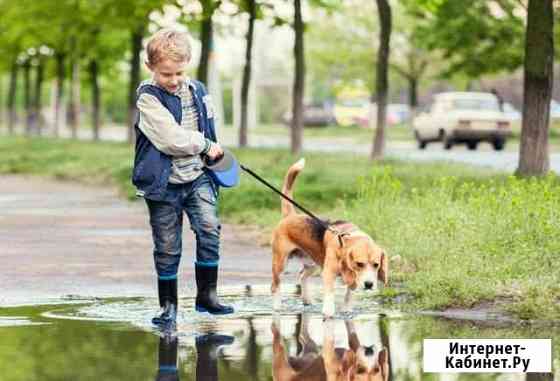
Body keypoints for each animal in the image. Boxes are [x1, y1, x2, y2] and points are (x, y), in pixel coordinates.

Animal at [272, 157, 390, 314]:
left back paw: (307, 300)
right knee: (275, 286)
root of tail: (291, 215)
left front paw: (346, 310)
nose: (369, 284)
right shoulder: (328, 273)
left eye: (376, 265)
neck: (346, 240)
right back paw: (277, 307)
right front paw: (328, 313)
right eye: (359, 264)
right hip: (280, 263)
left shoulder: (351, 277)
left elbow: (349, 295)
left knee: (302, 275)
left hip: (314, 262)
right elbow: (329, 295)